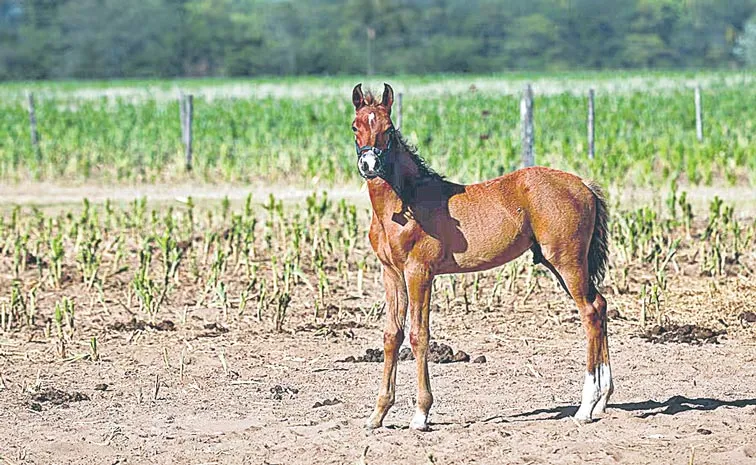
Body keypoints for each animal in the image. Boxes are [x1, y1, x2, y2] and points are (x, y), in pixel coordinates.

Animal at [354, 83, 616, 432]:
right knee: (599, 305)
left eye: (388, 129)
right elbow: (391, 335)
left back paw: (585, 407)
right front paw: (378, 413)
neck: (405, 203)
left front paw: (421, 414)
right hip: (564, 264)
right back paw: (602, 400)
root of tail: (583, 185)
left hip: (568, 262)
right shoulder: (391, 273)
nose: (370, 165)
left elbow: (418, 335)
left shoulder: (419, 272)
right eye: (355, 126)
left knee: (589, 312)